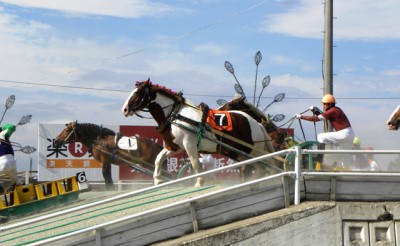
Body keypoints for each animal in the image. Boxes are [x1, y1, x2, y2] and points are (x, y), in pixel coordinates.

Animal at [120, 80, 280, 187]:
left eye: (138, 93)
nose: (125, 109)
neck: (175, 114)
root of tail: (257, 124)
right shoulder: (174, 147)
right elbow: (158, 159)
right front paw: (158, 179)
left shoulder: (189, 144)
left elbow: (195, 164)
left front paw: (199, 182)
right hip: (239, 152)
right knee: (259, 167)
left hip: (252, 150)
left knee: (269, 163)